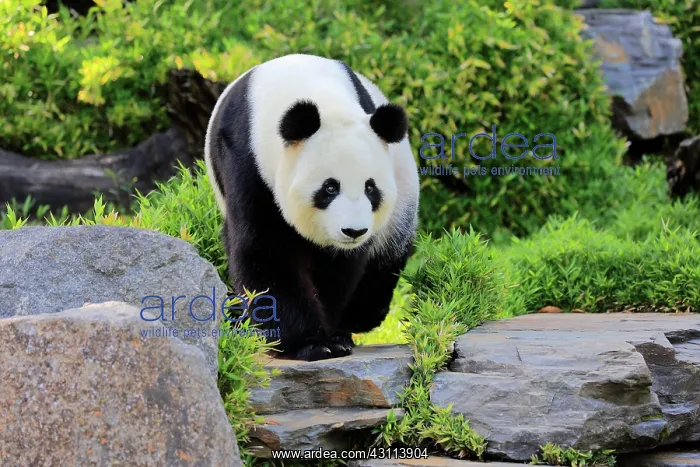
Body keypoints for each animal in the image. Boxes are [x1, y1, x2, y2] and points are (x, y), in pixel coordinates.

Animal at [204, 53, 420, 361]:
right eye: (330, 188)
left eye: (370, 188)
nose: (353, 231)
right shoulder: (246, 161)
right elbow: (266, 250)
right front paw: (310, 343)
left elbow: (336, 268)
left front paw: (332, 336)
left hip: (402, 191)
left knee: (386, 257)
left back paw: (358, 319)